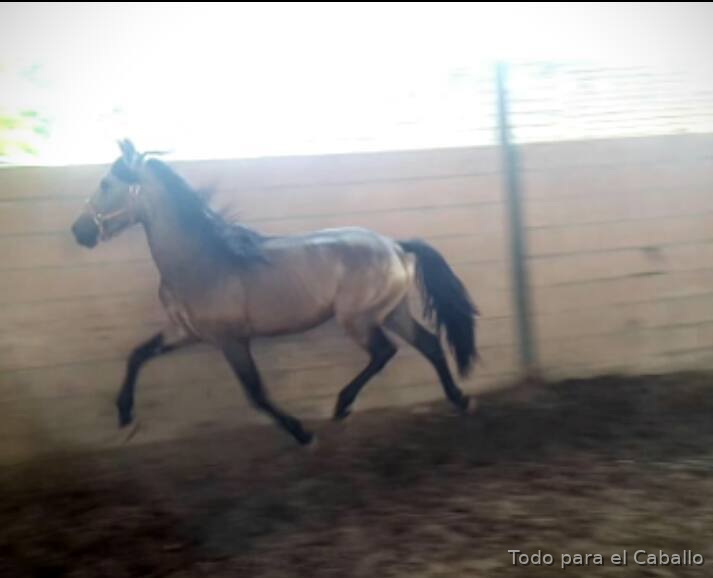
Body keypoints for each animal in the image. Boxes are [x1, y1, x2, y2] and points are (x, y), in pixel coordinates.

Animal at [71, 140, 479, 446]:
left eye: (106, 183)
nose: (79, 231)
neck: (202, 260)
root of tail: (395, 246)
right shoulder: (183, 332)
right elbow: (137, 355)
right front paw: (124, 412)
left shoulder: (231, 340)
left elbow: (256, 393)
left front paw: (301, 433)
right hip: (392, 311)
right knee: (428, 344)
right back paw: (458, 398)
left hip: (359, 319)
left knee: (384, 352)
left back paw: (342, 405)